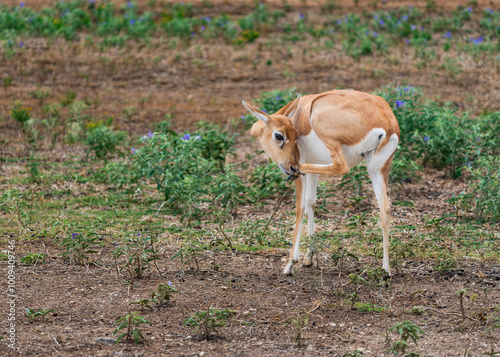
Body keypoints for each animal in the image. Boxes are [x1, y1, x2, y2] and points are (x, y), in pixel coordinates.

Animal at [241, 89, 398, 276]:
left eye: (293, 135)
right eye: (279, 135)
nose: (291, 167)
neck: (300, 115)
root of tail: (387, 121)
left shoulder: (303, 166)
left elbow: (300, 207)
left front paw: (291, 263)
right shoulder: (314, 168)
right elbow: (311, 203)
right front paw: (309, 257)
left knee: (341, 167)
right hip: (378, 168)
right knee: (385, 208)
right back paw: (386, 270)